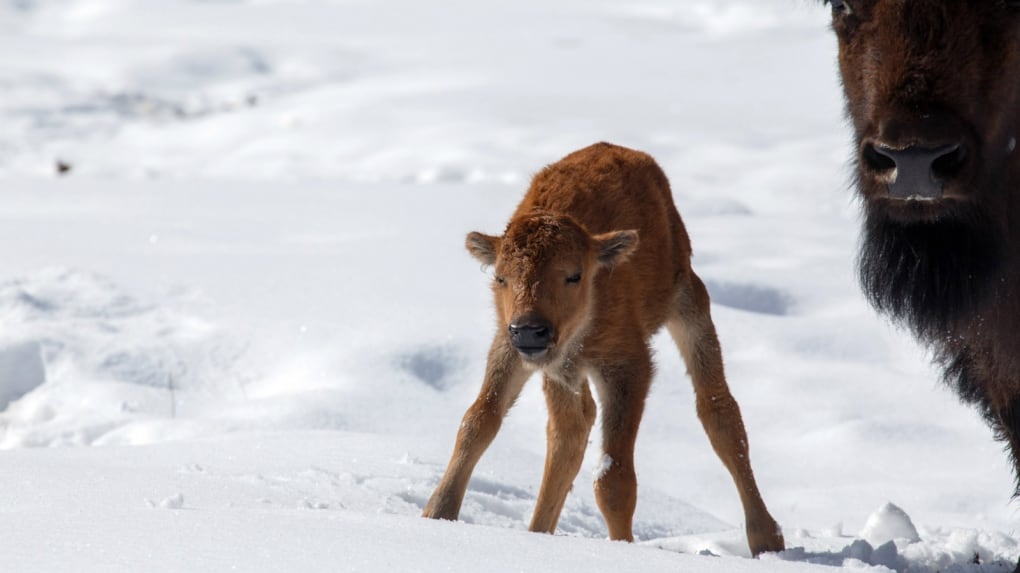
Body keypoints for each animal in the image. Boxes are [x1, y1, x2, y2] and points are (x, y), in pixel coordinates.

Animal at [421, 142, 785, 557]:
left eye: (573, 275)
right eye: (501, 278)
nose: (530, 331)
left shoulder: (627, 366)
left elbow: (614, 479)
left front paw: (622, 546)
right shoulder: (513, 351)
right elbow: (477, 422)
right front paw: (436, 514)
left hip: (688, 303)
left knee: (719, 411)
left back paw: (767, 539)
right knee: (570, 432)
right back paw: (538, 531)